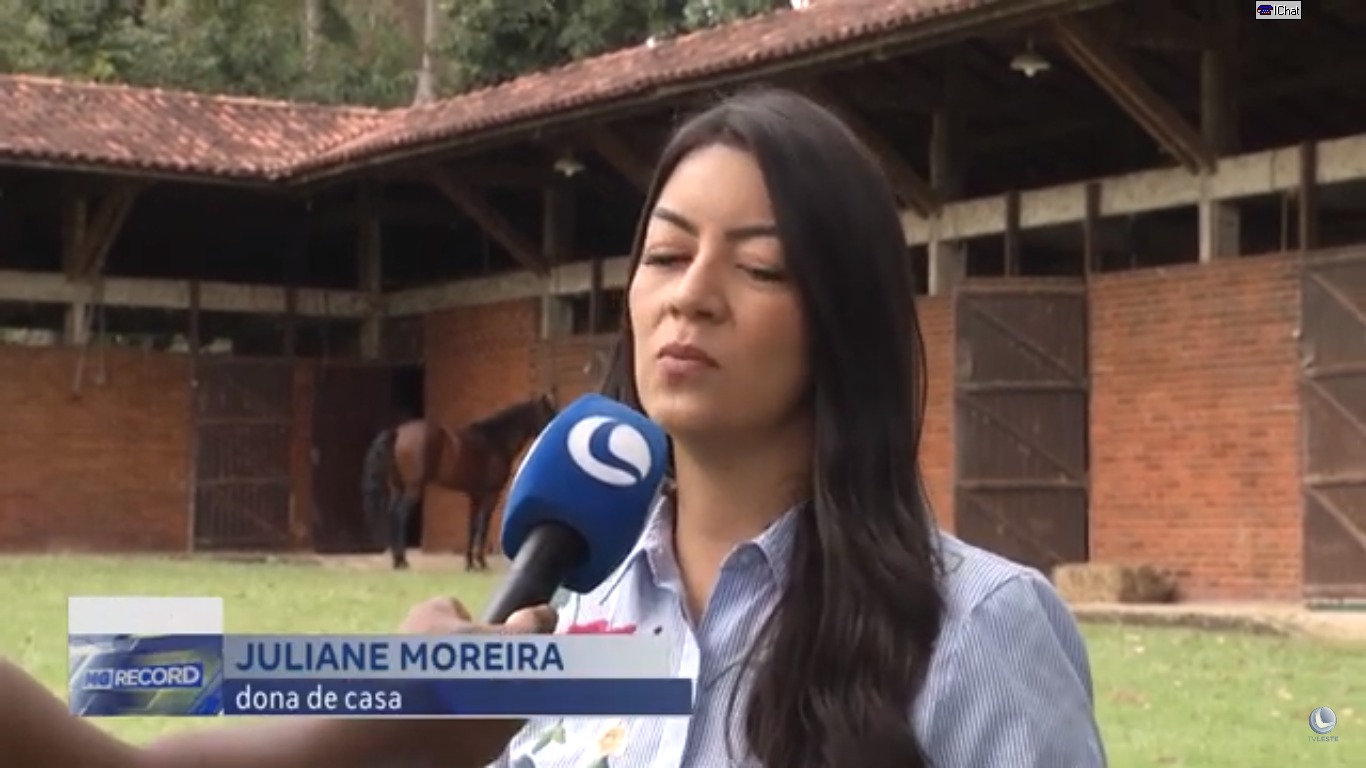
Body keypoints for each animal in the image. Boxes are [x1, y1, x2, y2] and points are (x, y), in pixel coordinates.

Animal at [361, 394, 558, 572]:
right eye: (549, 413)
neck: (494, 441)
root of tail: (398, 431)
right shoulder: (491, 494)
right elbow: (483, 526)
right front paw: (481, 562)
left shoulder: (475, 495)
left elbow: (472, 526)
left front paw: (470, 563)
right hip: (413, 488)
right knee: (400, 515)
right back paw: (402, 561)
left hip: (398, 487)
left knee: (392, 514)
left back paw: (397, 560)